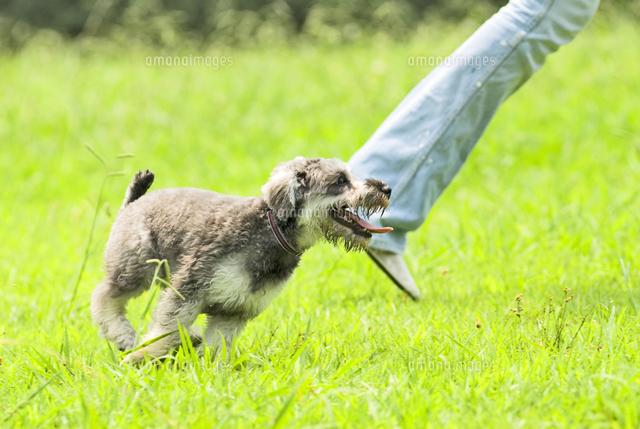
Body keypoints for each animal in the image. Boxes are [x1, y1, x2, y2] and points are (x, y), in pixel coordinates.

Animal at [89, 155, 390, 362]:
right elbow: (167, 329)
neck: (271, 231)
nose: (385, 188)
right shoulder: (188, 290)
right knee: (104, 295)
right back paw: (124, 336)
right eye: (340, 180)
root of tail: (134, 203)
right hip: (135, 269)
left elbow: (214, 346)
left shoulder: (233, 311)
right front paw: (140, 357)